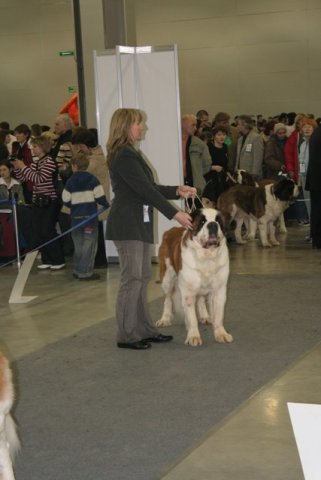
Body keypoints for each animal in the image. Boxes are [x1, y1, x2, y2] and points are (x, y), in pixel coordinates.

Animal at [156, 208, 232, 346]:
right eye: (202, 222)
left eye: (218, 221)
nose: (212, 224)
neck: (207, 256)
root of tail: (170, 230)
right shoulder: (188, 291)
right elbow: (191, 317)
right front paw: (193, 336)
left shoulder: (219, 290)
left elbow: (219, 315)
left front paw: (221, 334)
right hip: (167, 278)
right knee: (168, 299)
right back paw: (165, 319)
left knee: (200, 299)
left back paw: (205, 316)